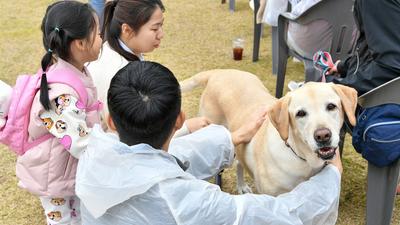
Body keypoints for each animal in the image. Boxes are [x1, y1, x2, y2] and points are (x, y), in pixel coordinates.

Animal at [180, 70, 356, 195]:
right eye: (300, 113)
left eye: (331, 106)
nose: (323, 136)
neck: (303, 160)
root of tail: (219, 72)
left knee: (239, 163)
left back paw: (241, 185)